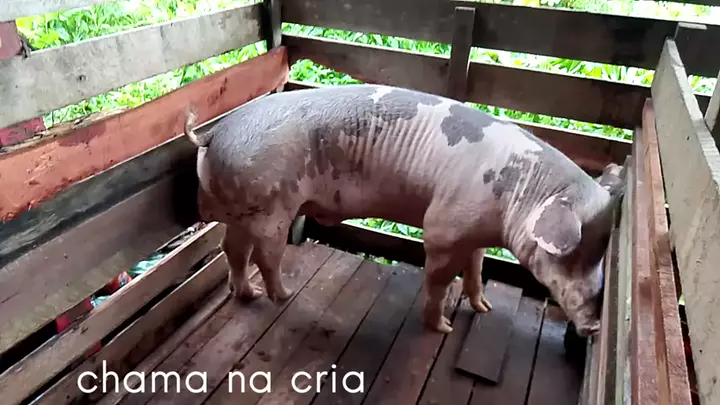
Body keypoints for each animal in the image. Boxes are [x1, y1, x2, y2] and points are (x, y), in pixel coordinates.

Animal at [183, 84, 625, 337]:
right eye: (573, 255)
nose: (595, 325)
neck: (520, 193)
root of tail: (212, 134)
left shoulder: (476, 231)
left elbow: (477, 268)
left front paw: (484, 308)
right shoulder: (444, 228)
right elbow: (439, 279)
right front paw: (443, 328)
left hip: (239, 208)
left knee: (232, 249)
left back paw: (249, 294)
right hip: (272, 205)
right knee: (265, 254)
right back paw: (282, 295)